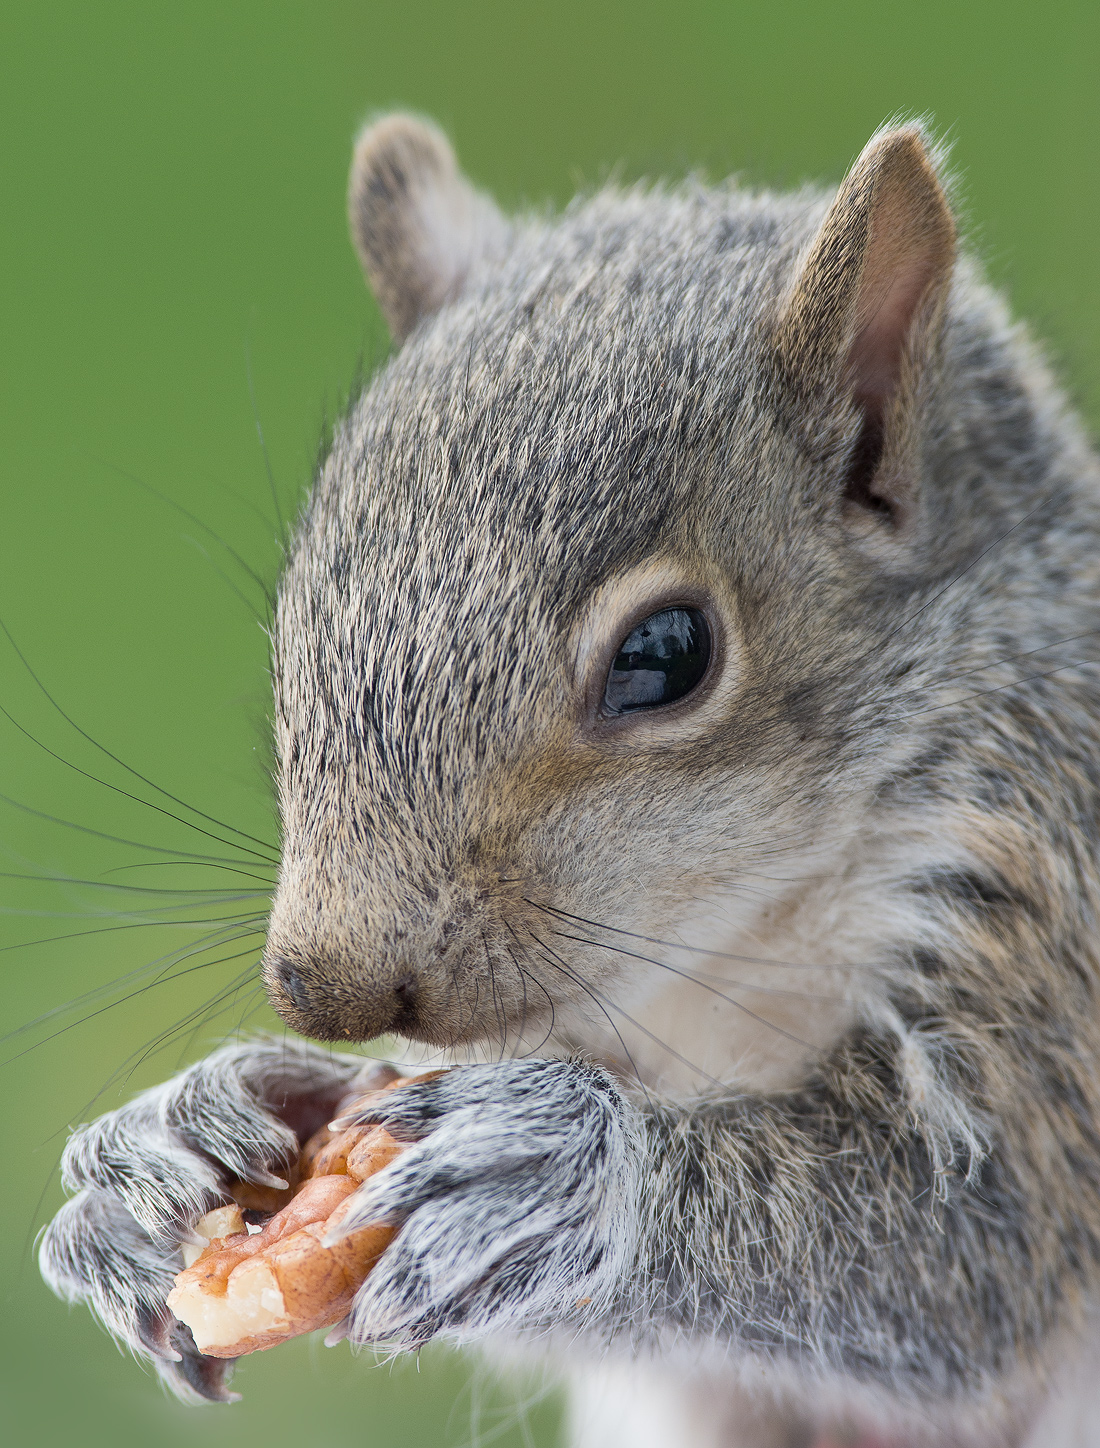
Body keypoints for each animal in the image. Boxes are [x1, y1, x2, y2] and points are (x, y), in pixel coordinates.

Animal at [37, 113, 1100, 1447]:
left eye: (665, 654)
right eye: (299, 600)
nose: (324, 989)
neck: (721, 947)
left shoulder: (1040, 885)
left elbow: (974, 1248)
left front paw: (569, 1175)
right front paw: (174, 1142)